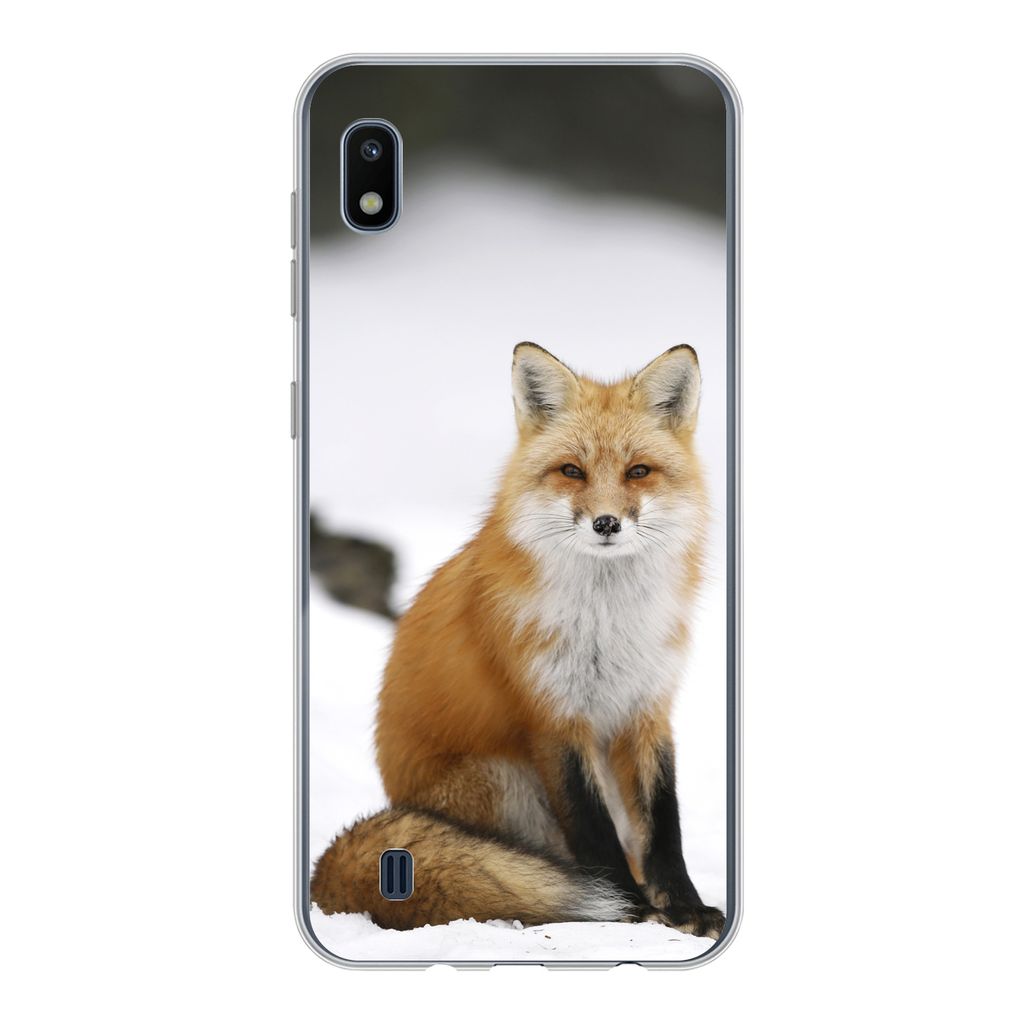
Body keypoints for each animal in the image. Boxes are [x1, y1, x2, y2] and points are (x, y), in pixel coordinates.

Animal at [311, 342, 725, 939]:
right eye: (572, 471)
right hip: (503, 779)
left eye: (638, 471)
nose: (606, 523)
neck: (607, 624)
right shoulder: (552, 715)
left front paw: (685, 908)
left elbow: (663, 826)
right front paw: (632, 909)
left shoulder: (647, 707)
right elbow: (594, 832)